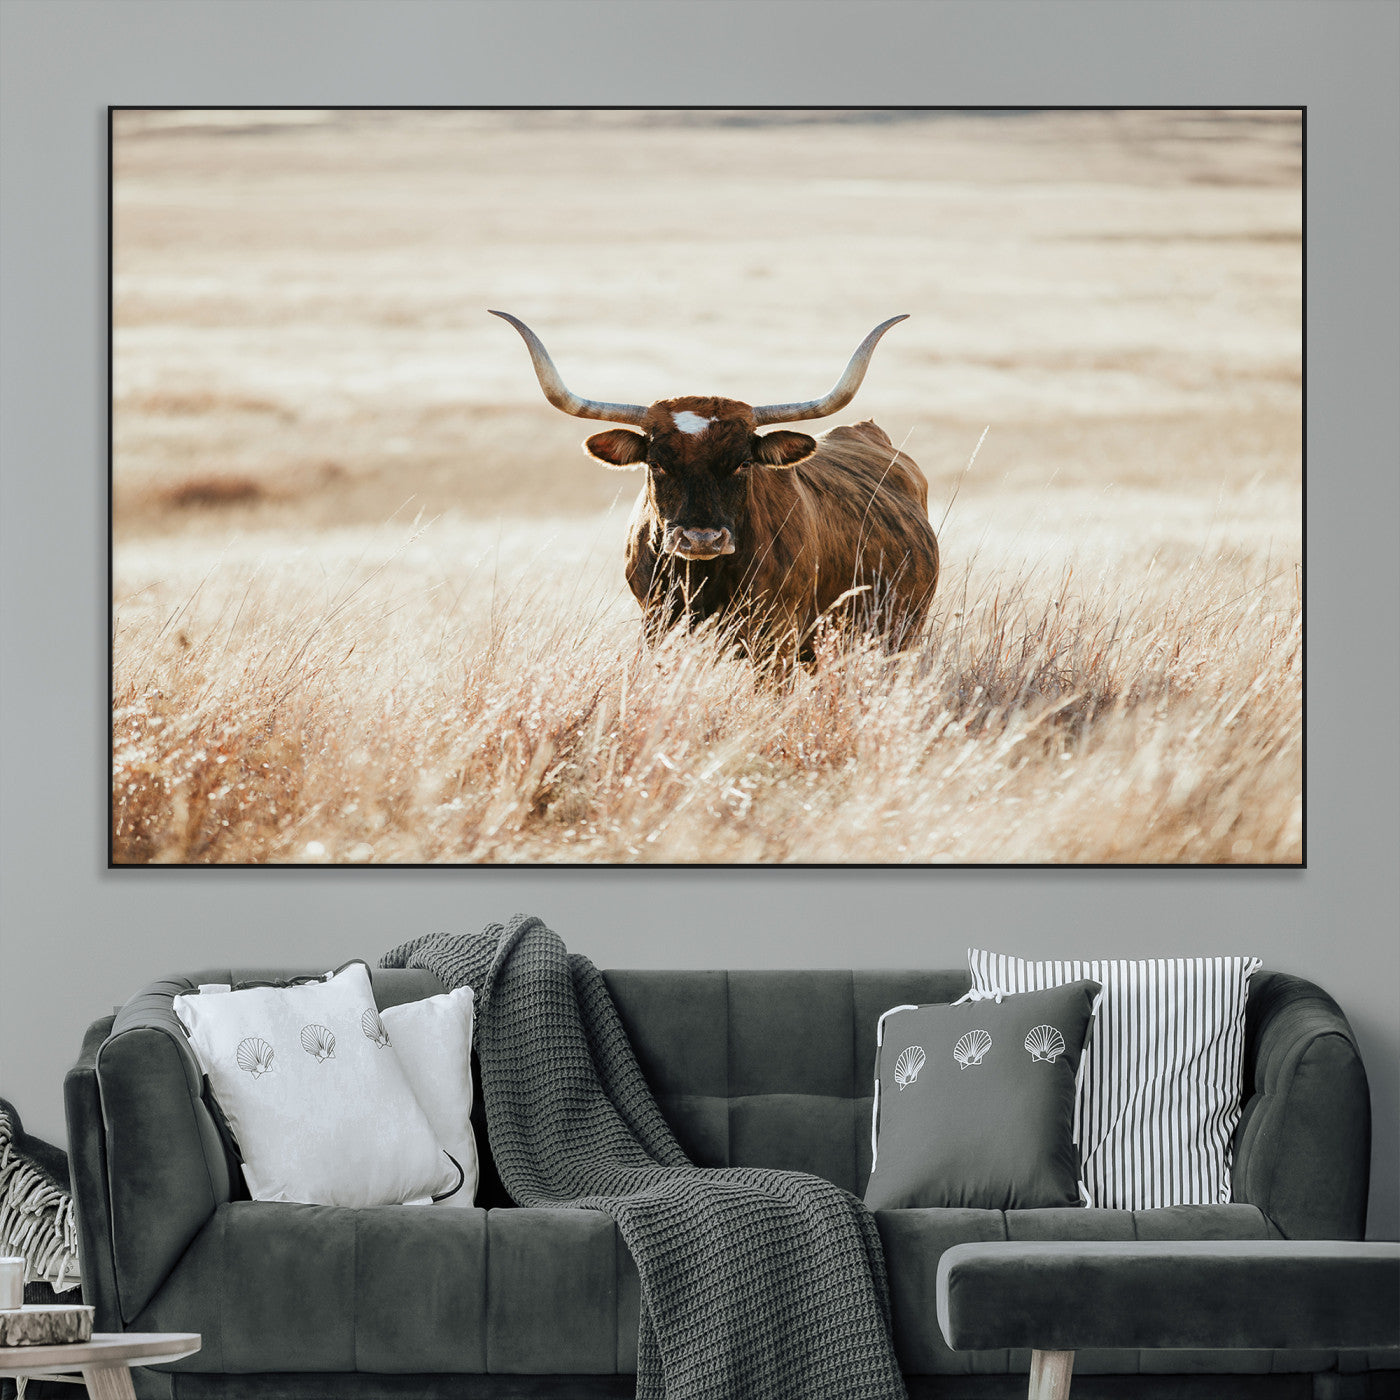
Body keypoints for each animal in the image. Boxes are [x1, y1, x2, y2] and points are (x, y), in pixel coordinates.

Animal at [491, 311, 939, 670]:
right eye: (657, 463)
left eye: (743, 462)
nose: (701, 539)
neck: (704, 576)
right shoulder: (658, 630)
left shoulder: (776, 640)